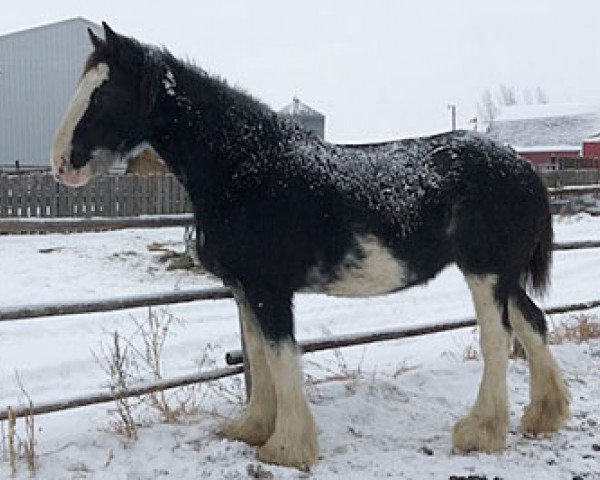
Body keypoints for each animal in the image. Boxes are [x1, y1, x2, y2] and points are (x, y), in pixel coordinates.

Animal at [50, 23, 568, 468]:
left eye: (105, 92)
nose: (61, 164)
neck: (247, 169)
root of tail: (524, 169)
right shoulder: (245, 289)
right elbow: (259, 356)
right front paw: (253, 428)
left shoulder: (270, 290)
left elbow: (281, 357)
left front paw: (287, 448)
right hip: (502, 275)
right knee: (532, 323)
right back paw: (544, 416)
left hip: (485, 272)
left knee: (497, 337)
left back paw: (480, 432)